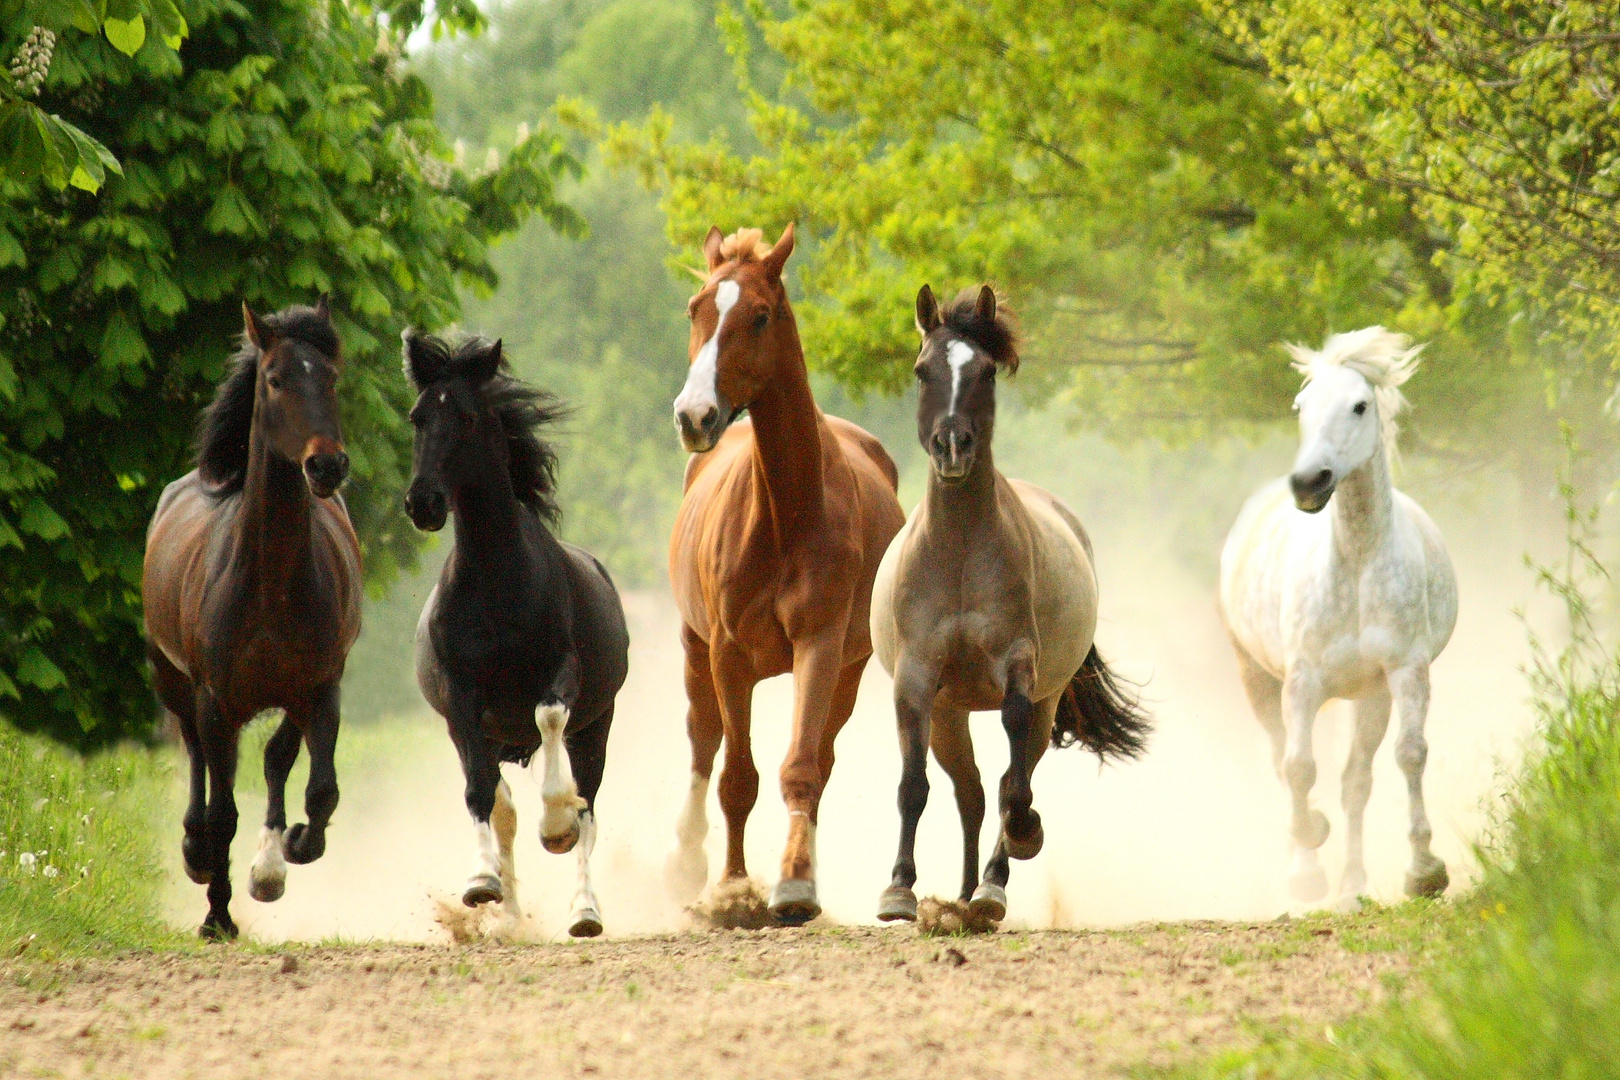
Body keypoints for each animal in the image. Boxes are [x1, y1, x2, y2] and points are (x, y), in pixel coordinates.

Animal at [142, 297, 361, 939]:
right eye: (276, 379)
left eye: (331, 377)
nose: (327, 466)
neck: (272, 583)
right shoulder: (216, 698)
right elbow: (223, 811)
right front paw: (217, 915)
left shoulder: (319, 687)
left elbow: (318, 789)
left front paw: (289, 851)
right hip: (174, 680)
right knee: (196, 758)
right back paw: (196, 855)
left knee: (273, 761)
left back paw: (267, 863)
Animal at [401, 330, 628, 939]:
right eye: (417, 417)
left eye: (467, 417)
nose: (422, 503)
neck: (496, 581)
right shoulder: (462, 701)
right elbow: (481, 795)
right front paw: (482, 883)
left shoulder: (561, 677)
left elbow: (549, 724)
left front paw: (556, 827)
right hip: (494, 736)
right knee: (502, 807)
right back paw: (509, 913)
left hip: (596, 726)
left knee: (589, 807)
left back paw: (585, 911)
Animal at [664, 223, 907, 926]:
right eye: (696, 308)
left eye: (759, 315)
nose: (694, 415)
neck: (785, 513)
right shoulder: (726, 652)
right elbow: (735, 776)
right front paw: (731, 889)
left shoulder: (820, 647)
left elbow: (802, 766)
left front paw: (794, 884)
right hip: (693, 648)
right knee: (702, 741)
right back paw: (688, 862)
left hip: (850, 670)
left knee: (820, 759)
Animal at [874, 286, 1153, 932]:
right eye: (922, 369)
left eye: (984, 371)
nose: (952, 446)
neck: (957, 552)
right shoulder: (917, 680)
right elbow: (913, 785)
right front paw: (899, 890)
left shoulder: (1018, 669)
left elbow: (1015, 777)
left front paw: (1023, 840)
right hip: (950, 712)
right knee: (970, 794)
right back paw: (961, 895)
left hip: (1044, 701)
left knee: (1006, 779)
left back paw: (989, 890)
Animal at [1218, 325, 1464, 906]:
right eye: (1300, 406)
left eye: (1359, 405)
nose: (1309, 482)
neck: (1353, 565)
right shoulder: (1301, 682)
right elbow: (1300, 768)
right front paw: (1308, 862)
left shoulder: (1405, 672)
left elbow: (1410, 754)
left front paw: (1425, 872)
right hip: (1256, 679)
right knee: (1283, 763)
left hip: (1369, 695)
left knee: (1357, 782)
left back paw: (1353, 886)